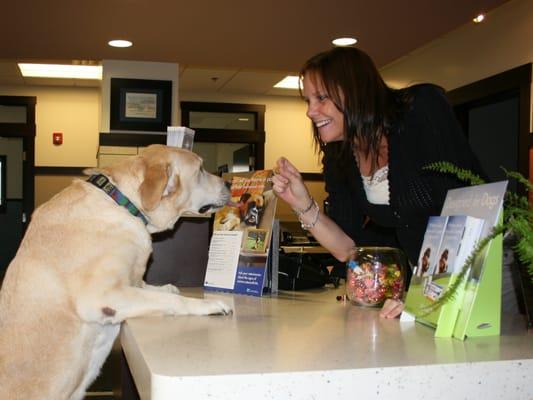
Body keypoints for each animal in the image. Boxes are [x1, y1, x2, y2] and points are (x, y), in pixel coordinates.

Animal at [0, 145, 233, 400]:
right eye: (200, 169)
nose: (230, 183)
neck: (123, 204)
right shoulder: (100, 296)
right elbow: (170, 300)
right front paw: (208, 304)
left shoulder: (129, 282)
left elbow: (154, 289)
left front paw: (168, 287)